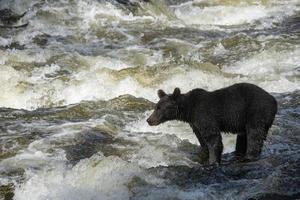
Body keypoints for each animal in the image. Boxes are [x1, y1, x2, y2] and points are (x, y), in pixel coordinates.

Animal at [146, 83, 278, 166]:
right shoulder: (195, 123)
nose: (149, 120)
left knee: (255, 135)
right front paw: (204, 155)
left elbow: (213, 138)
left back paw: (249, 157)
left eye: (160, 108)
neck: (189, 110)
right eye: (156, 106)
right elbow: (202, 140)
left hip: (256, 112)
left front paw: (213, 162)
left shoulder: (205, 115)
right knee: (243, 137)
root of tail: (274, 100)